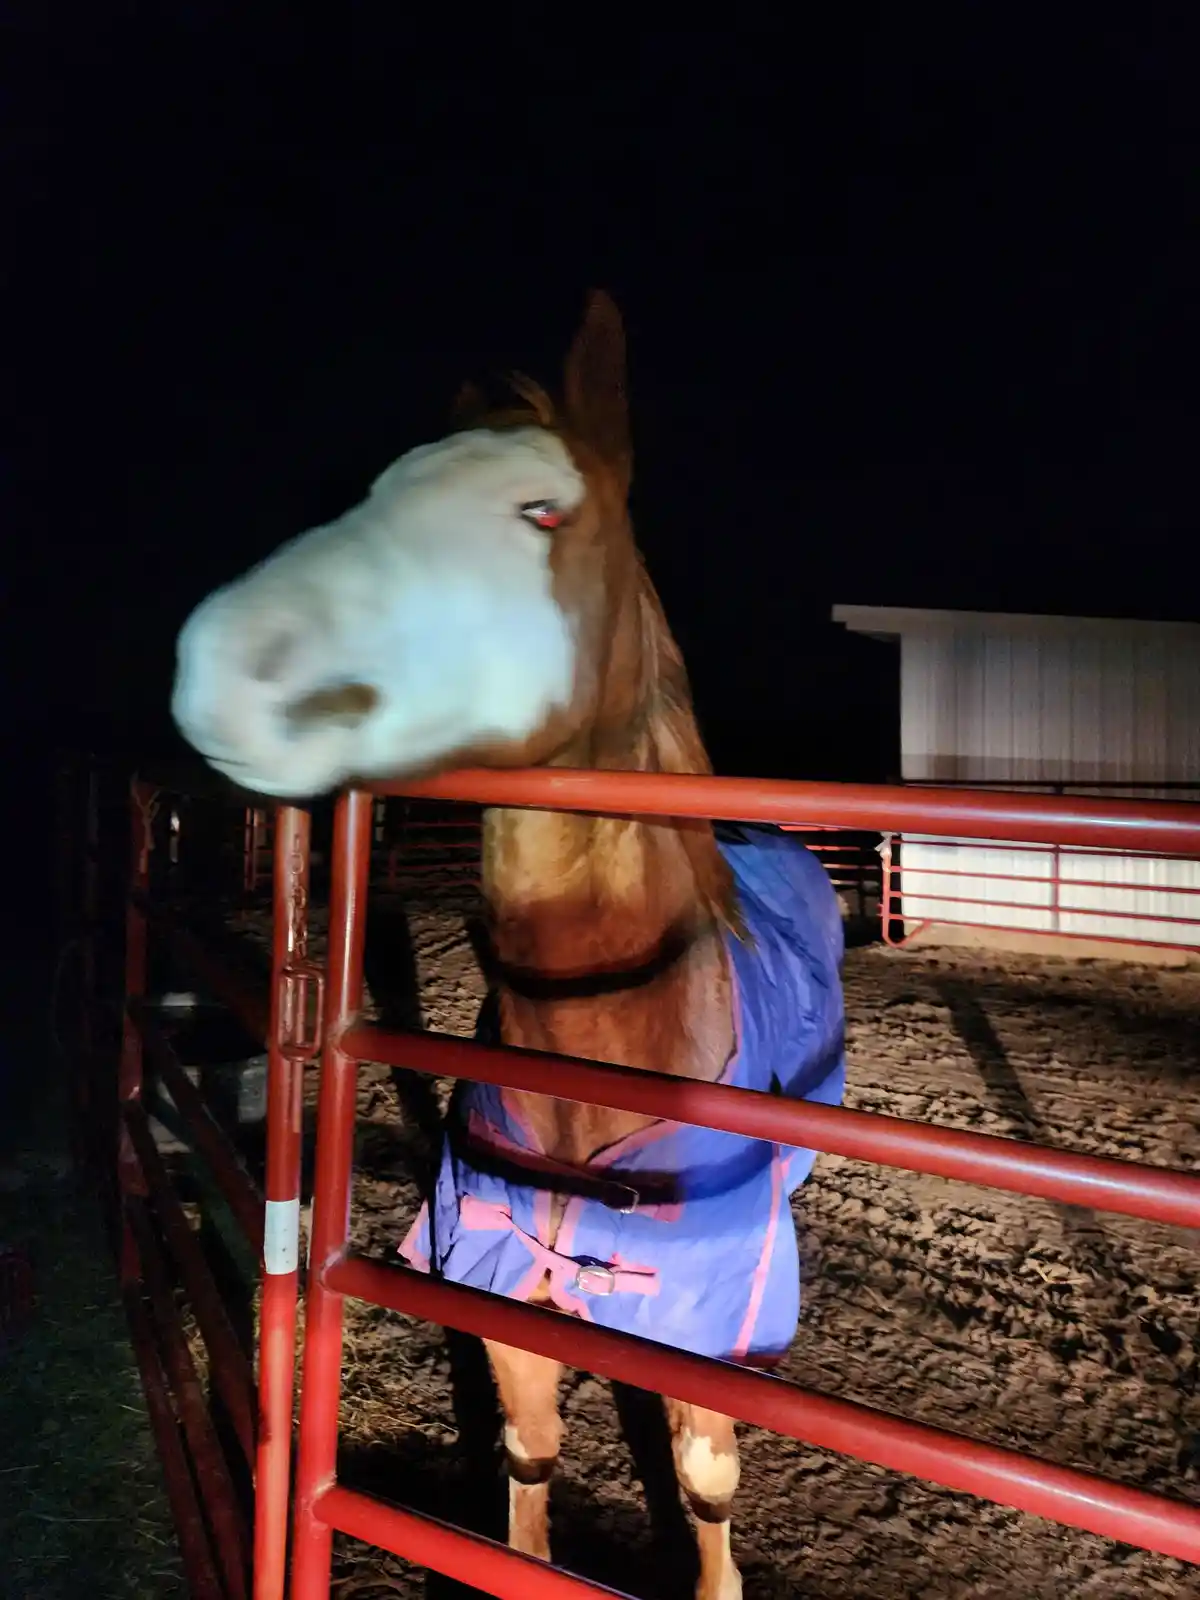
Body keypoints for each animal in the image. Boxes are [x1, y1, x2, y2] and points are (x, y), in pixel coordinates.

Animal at [170, 290, 846, 1600]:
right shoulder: (500, 1299)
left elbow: (706, 1479)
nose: (223, 664)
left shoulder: (709, 1326)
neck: (607, 1046)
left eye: (543, 511)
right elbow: (528, 1459)